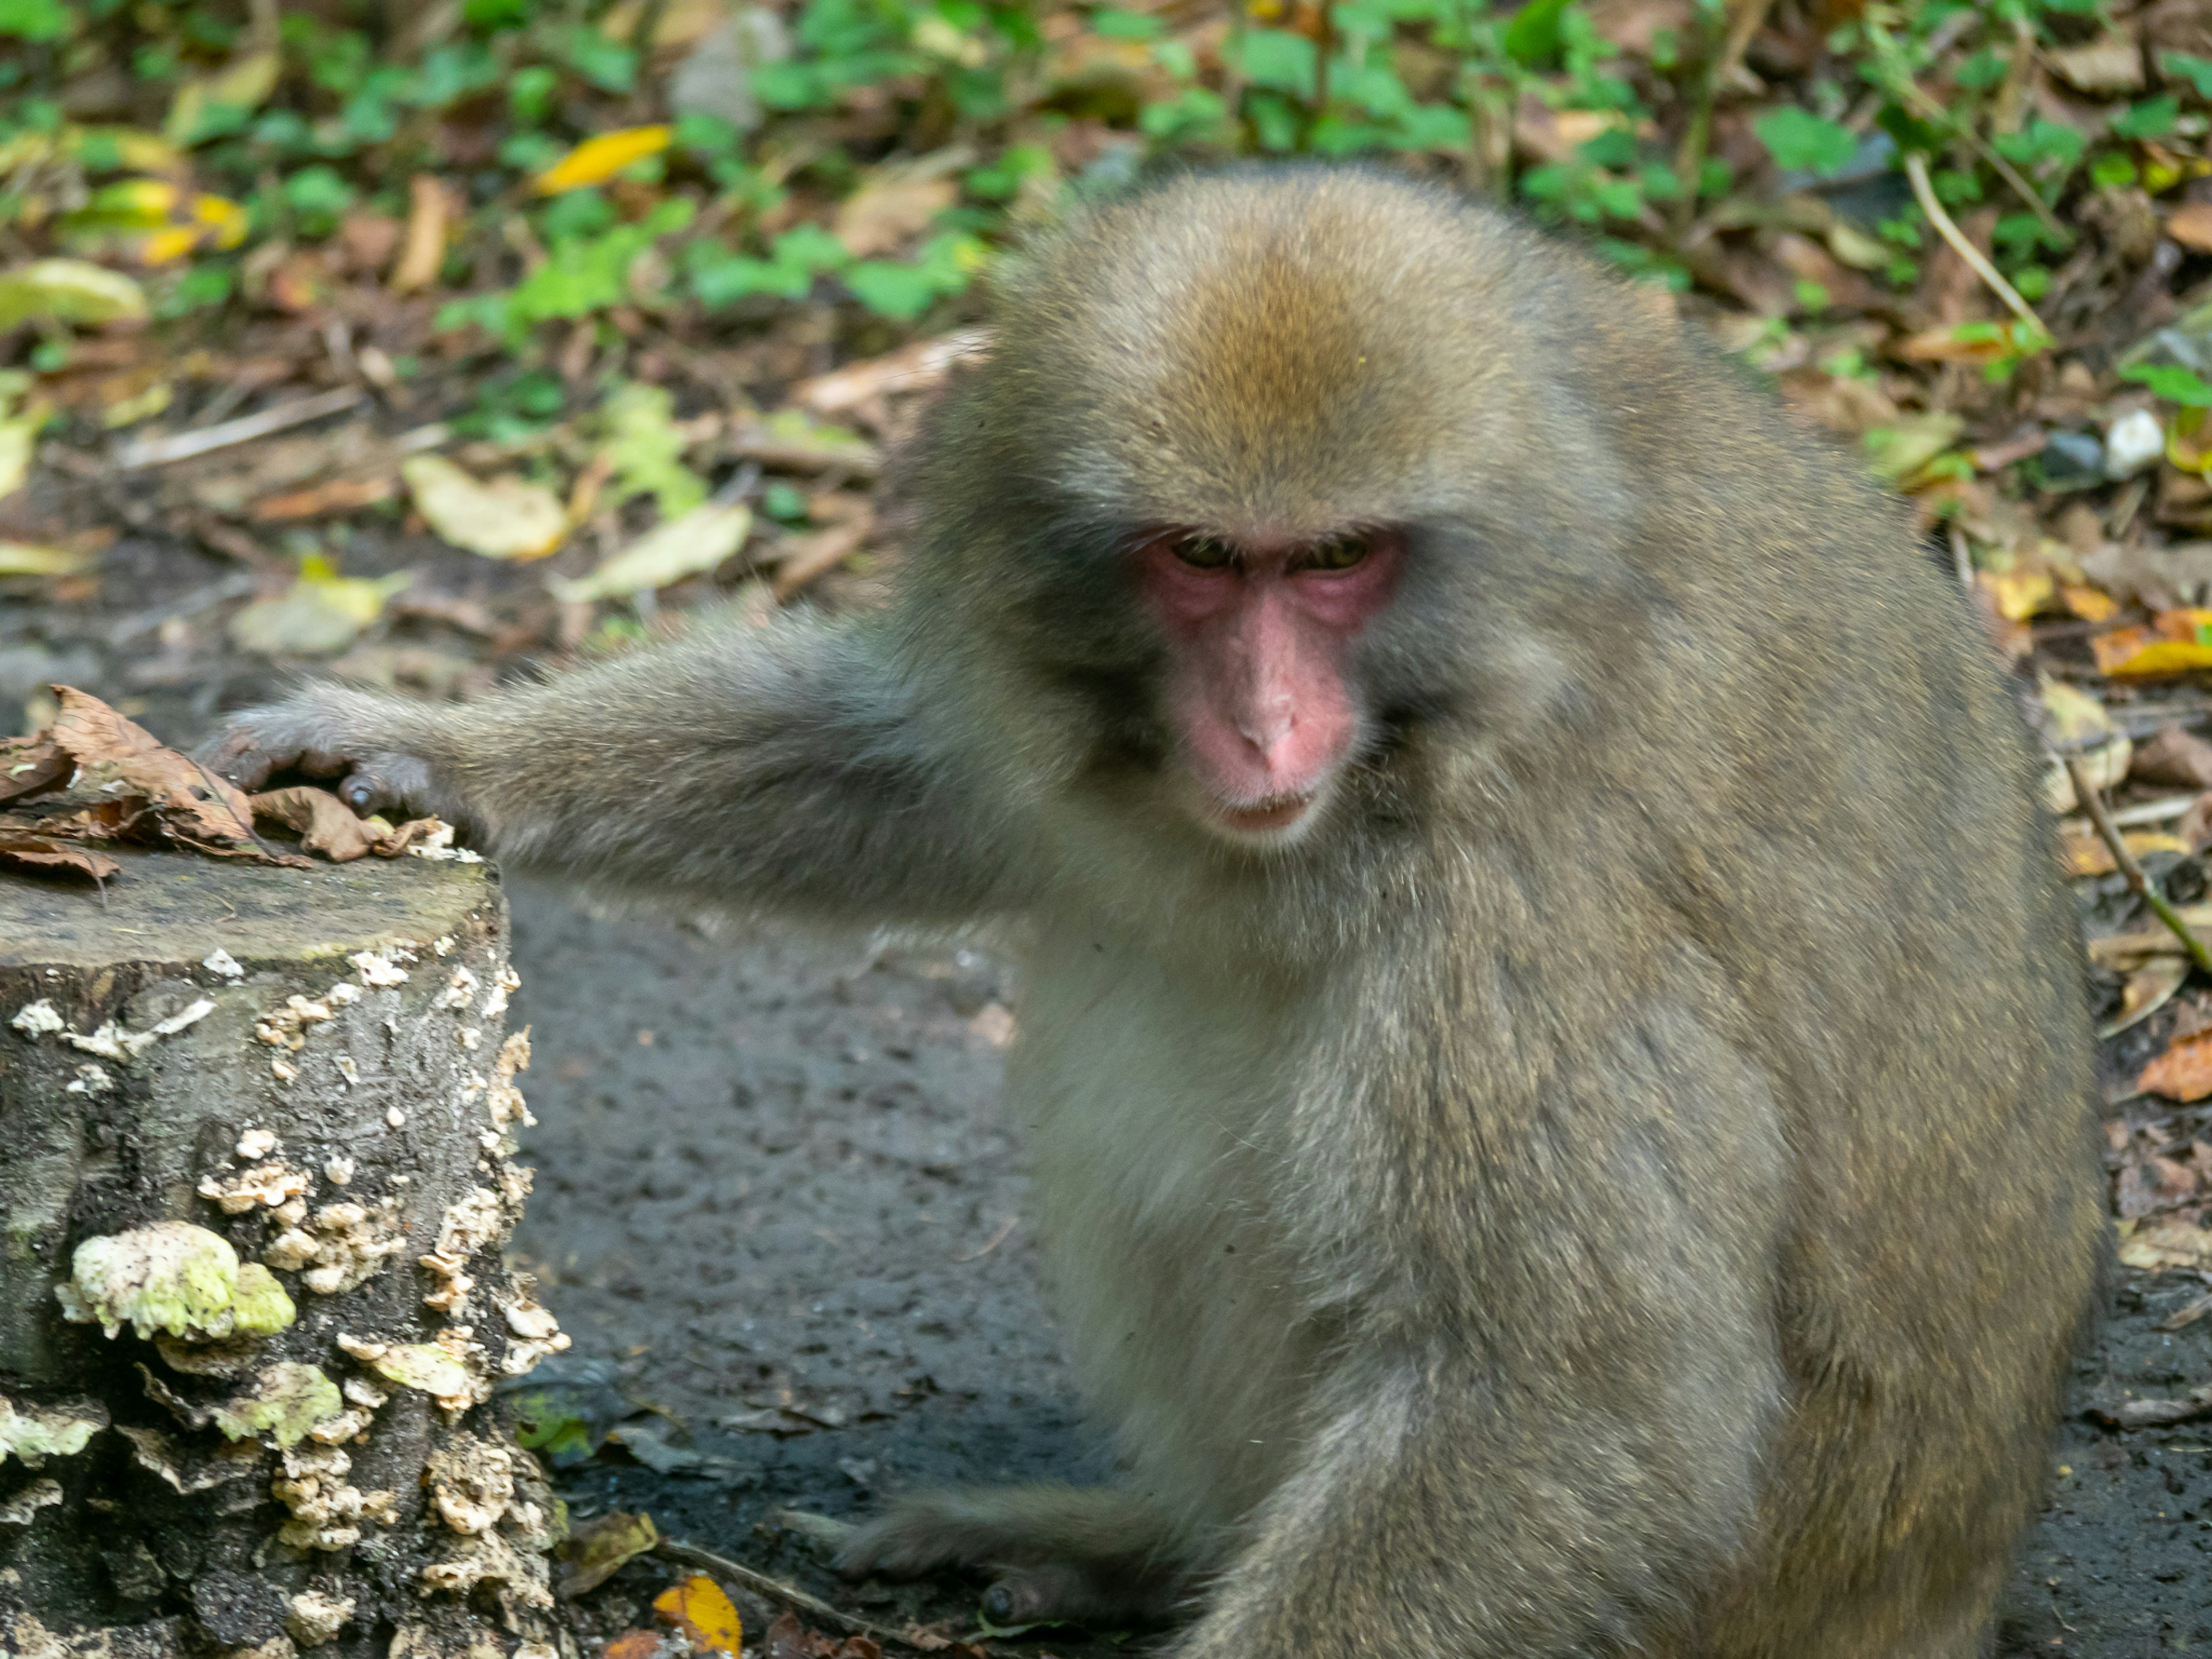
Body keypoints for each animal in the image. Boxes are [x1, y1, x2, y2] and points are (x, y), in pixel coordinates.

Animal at [211, 162, 2105, 1654]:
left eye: (1333, 561)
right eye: (1199, 558)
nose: (1262, 729)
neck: (1448, 714)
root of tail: (1941, 1590)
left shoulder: (1528, 907)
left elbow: (1580, 1395)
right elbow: (927, 776)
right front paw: (430, 746)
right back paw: (1137, 1543)